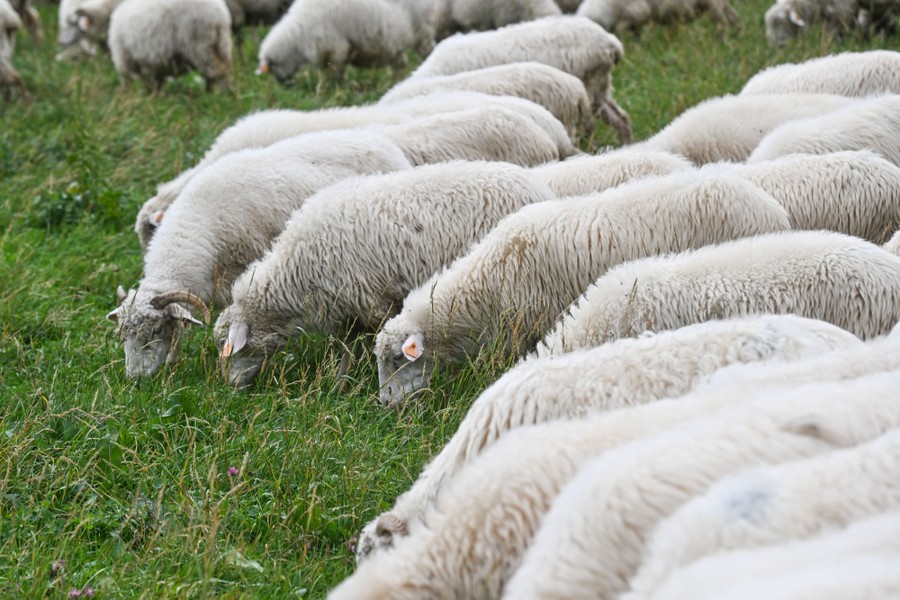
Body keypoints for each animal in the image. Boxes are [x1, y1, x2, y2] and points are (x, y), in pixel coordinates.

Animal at [214, 161, 557, 388]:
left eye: (230, 348)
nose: (232, 387)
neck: (294, 269)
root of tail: (540, 188)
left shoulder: (370, 301)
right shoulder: (347, 310)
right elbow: (347, 349)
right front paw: (340, 384)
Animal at [256, 0, 436, 85]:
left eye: (272, 69)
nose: (287, 86)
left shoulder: (332, 50)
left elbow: (327, 77)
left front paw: (323, 93)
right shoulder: (341, 52)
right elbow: (339, 73)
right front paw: (343, 87)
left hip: (423, 30)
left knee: (427, 52)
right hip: (394, 45)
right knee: (399, 66)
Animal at [411, 16, 633, 145]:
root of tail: (611, 43)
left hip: (587, 87)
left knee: (592, 126)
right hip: (599, 88)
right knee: (620, 118)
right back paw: (626, 143)